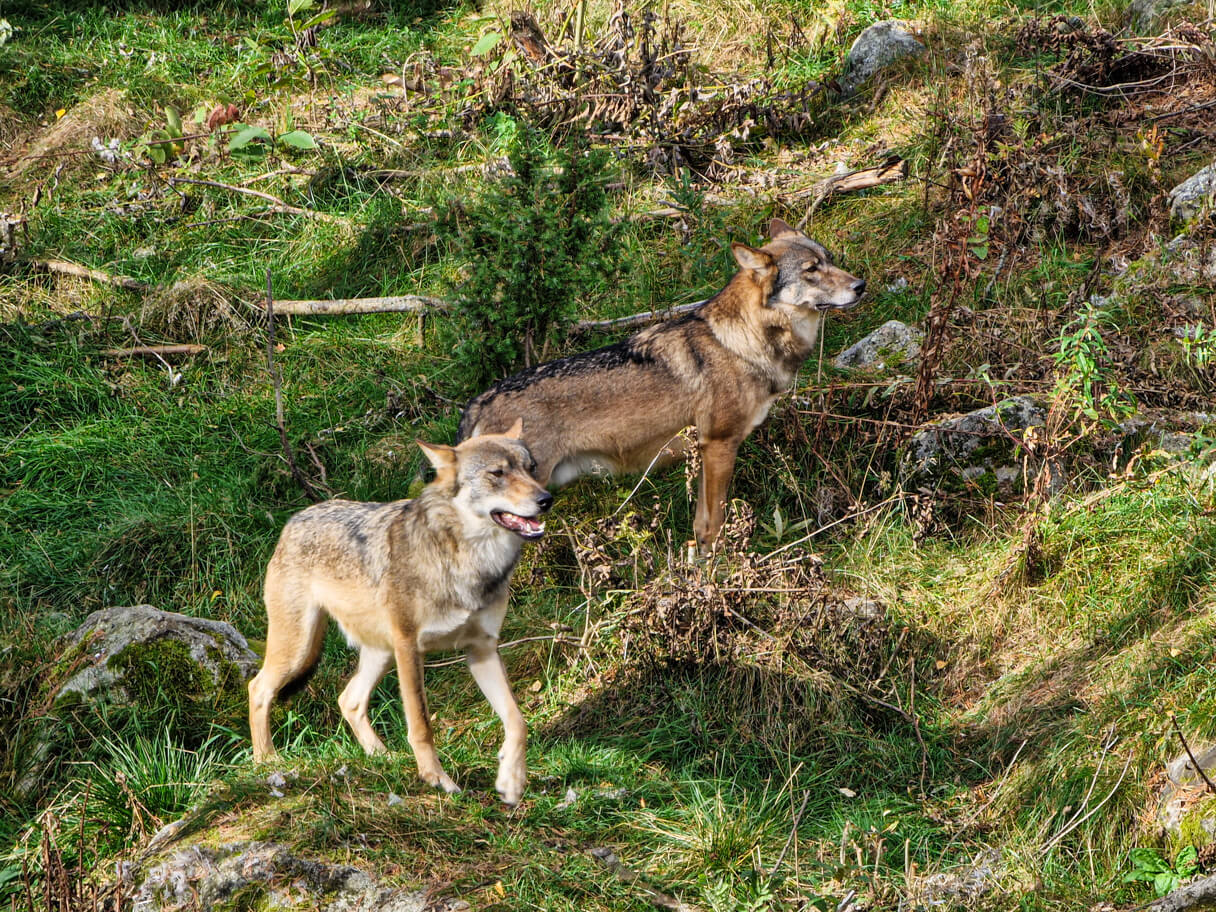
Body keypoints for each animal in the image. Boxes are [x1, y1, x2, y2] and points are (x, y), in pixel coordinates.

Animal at [246, 420, 552, 807]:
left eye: (532, 468)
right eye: (497, 474)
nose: (546, 500)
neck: (466, 560)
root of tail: (295, 519)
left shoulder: (482, 649)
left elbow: (517, 720)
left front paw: (511, 780)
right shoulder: (410, 647)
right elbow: (421, 725)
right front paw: (437, 780)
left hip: (379, 653)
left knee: (349, 700)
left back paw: (384, 757)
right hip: (300, 650)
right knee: (258, 688)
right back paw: (266, 761)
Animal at [457, 217, 865, 554]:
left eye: (830, 259)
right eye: (812, 270)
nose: (860, 285)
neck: (741, 340)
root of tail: (478, 401)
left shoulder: (703, 454)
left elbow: (701, 525)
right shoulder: (720, 445)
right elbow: (715, 524)